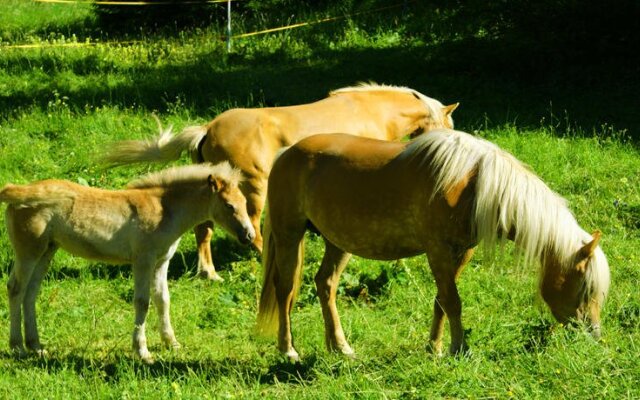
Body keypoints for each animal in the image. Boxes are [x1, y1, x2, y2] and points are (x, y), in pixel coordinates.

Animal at [0, 162, 255, 362]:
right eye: (229, 205)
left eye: (244, 202)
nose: (249, 235)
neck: (164, 209)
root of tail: (16, 191)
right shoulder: (143, 260)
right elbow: (142, 302)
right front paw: (143, 352)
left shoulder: (161, 262)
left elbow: (163, 300)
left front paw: (171, 343)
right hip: (29, 252)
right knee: (16, 289)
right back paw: (18, 347)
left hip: (47, 251)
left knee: (30, 292)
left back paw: (36, 346)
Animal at [102, 82, 458, 282]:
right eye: (449, 123)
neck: (372, 110)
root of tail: (208, 129)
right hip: (253, 187)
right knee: (254, 230)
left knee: (204, 230)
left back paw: (209, 273)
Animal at [258, 130, 612, 360]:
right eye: (585, 288)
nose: (593, 335)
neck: (471, 183)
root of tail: (287, 152)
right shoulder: (438, 251)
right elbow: (452, 302)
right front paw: (459, 350)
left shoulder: (460, 253)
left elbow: (441, 301)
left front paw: (435, 349)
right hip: (290, 236)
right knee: (285, 289)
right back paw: (288, 350)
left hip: (338, 242)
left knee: (326, 284)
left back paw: (340, 347)